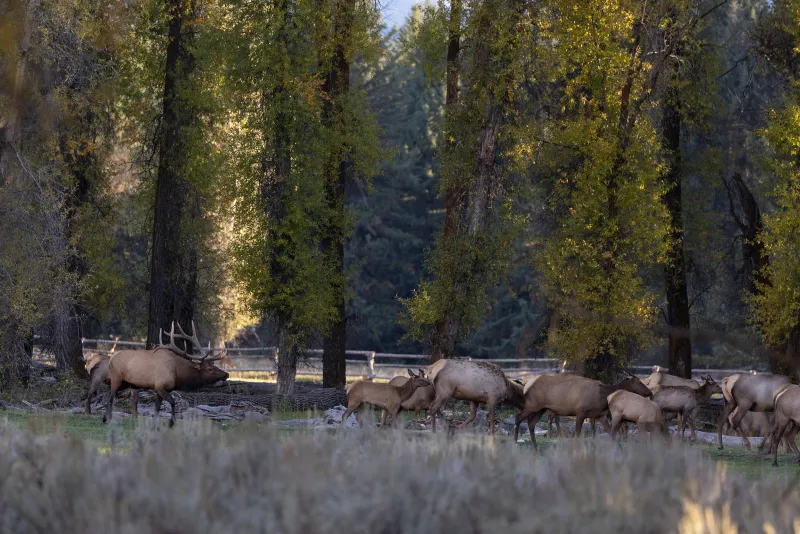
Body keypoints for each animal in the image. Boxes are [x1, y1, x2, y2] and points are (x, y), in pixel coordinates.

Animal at [513, 371, 653, 450]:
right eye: (639, 382)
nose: (650, 392)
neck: (603, 397)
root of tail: (525, 386)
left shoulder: (600, 415)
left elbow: (612, 434)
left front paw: (620, 451)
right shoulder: (581, 411)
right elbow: (577, 434)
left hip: (541, 408)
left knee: (531, 423)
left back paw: (535, 448)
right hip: (532, 405)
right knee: (518, 418)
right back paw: (515, 444)